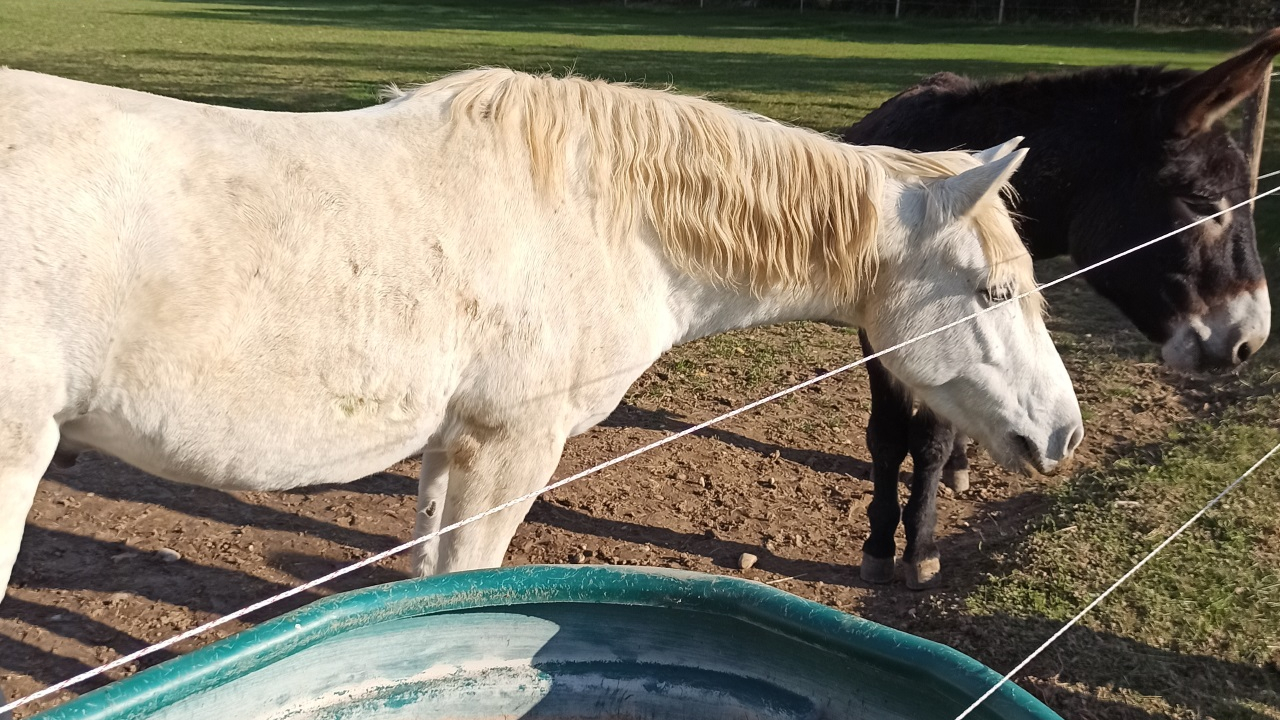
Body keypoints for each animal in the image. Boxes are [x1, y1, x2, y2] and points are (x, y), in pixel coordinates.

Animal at [0, 66, 1083, 605]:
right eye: (991, 291)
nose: (1062, 434)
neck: (609, 215)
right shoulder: (510, 447)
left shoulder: (450, 449)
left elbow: (426, 584)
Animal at [840, 29, 1280, 589]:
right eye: (1202, 202)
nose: (1252, 339)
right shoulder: (881, 331)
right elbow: (886, 435)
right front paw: (878, 545)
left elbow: (931, 440)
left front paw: (920, 548)